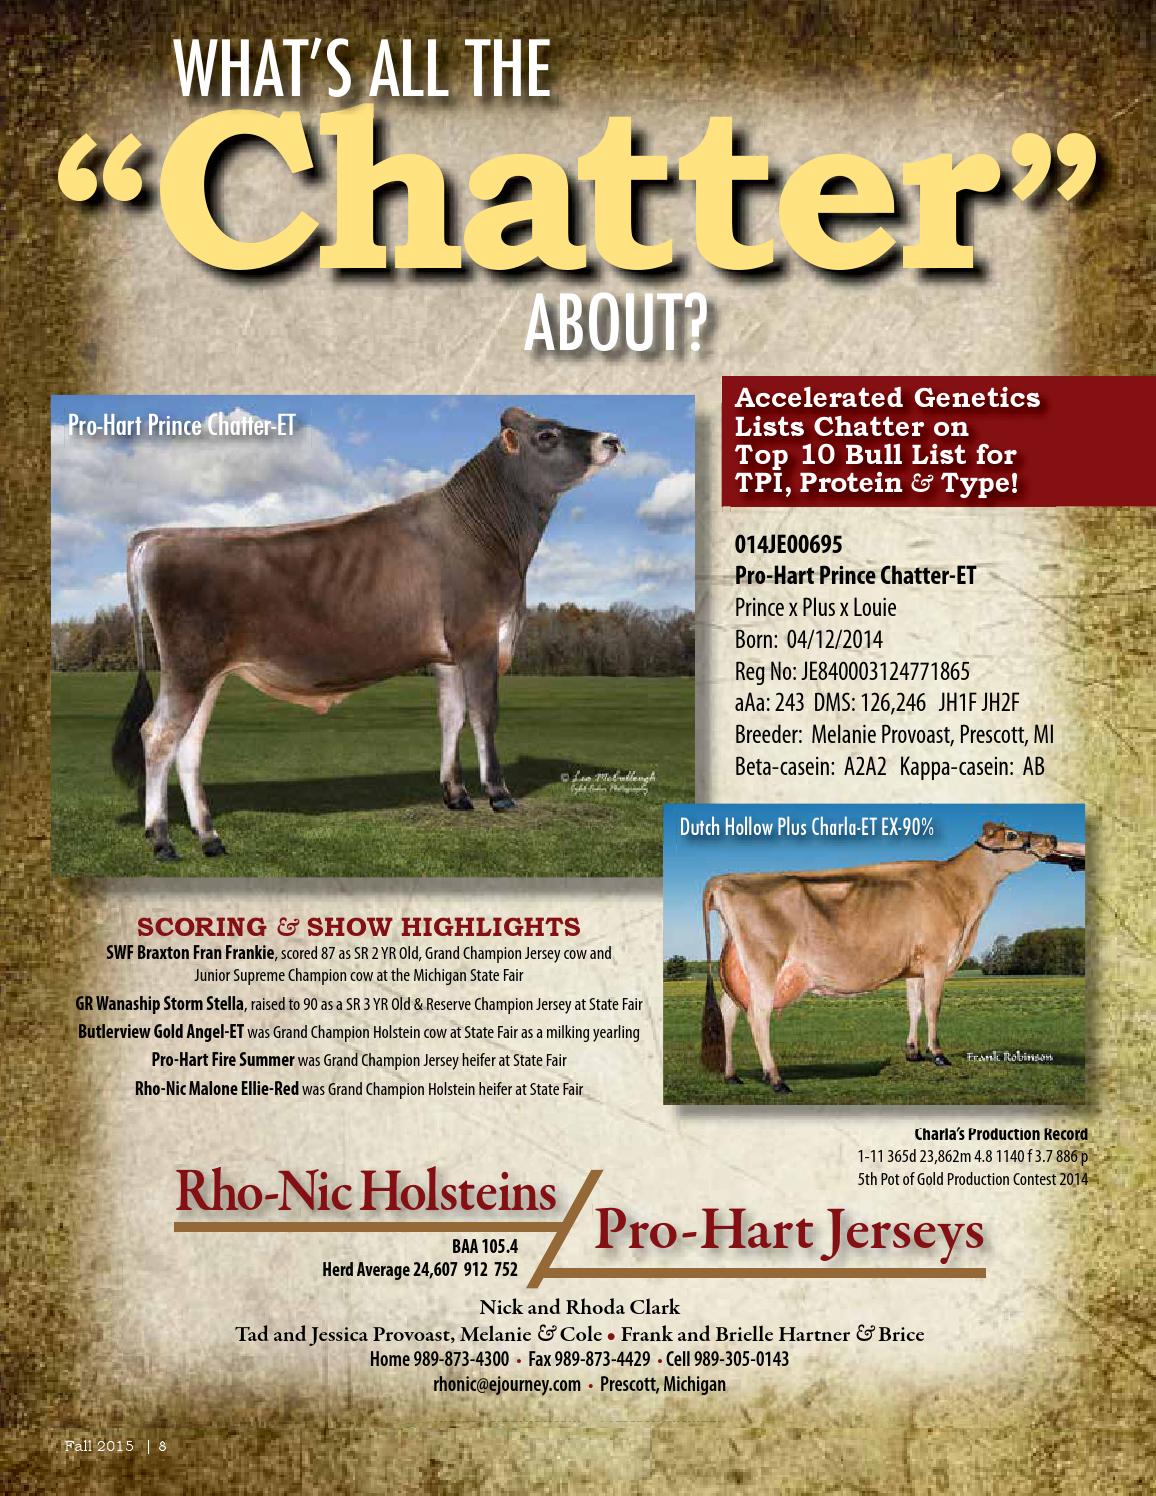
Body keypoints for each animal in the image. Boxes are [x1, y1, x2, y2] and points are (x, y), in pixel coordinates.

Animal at [111, 407, 622, 861]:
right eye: (547, 435)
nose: (613, 439)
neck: (490, 534)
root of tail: (160, 537)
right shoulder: (477, 639)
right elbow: (484, 715)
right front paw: (498, 793)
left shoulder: (446, 656)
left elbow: (451, 717)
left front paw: (455, 794)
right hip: (188, 668)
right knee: (157, 735)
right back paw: (162, 839)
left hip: (208, 674)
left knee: (189, 746)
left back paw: (209, 837)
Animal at [700, 822, 1086, 1091]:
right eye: (1011, 834)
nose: (1052, 838)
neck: (962, 895)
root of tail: (723, 880)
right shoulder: (936, 959)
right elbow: (933, 1006)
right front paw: (938, 1054)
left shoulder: (915, 967)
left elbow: (914, 1006)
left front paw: (913, 1053)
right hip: (764, 964)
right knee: (758, 1016)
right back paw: (775, 1078)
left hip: (738, 967)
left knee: (730, 1011)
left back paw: (732, 1076)